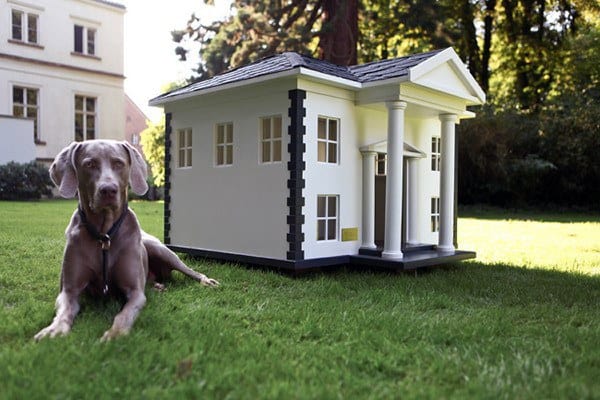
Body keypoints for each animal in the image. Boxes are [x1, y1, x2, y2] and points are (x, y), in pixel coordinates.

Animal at [35, 140, 219, 340]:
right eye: (89, 164)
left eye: (119, 163)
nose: (108, 190)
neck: (105, 235)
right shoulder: (69, 291)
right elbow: (64, 311)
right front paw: (54, 329)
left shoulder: (135, 292)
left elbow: (124, 313)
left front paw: (115, 333)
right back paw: (158, 286)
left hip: (161, 250)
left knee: (190, 270)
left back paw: (207, 281)